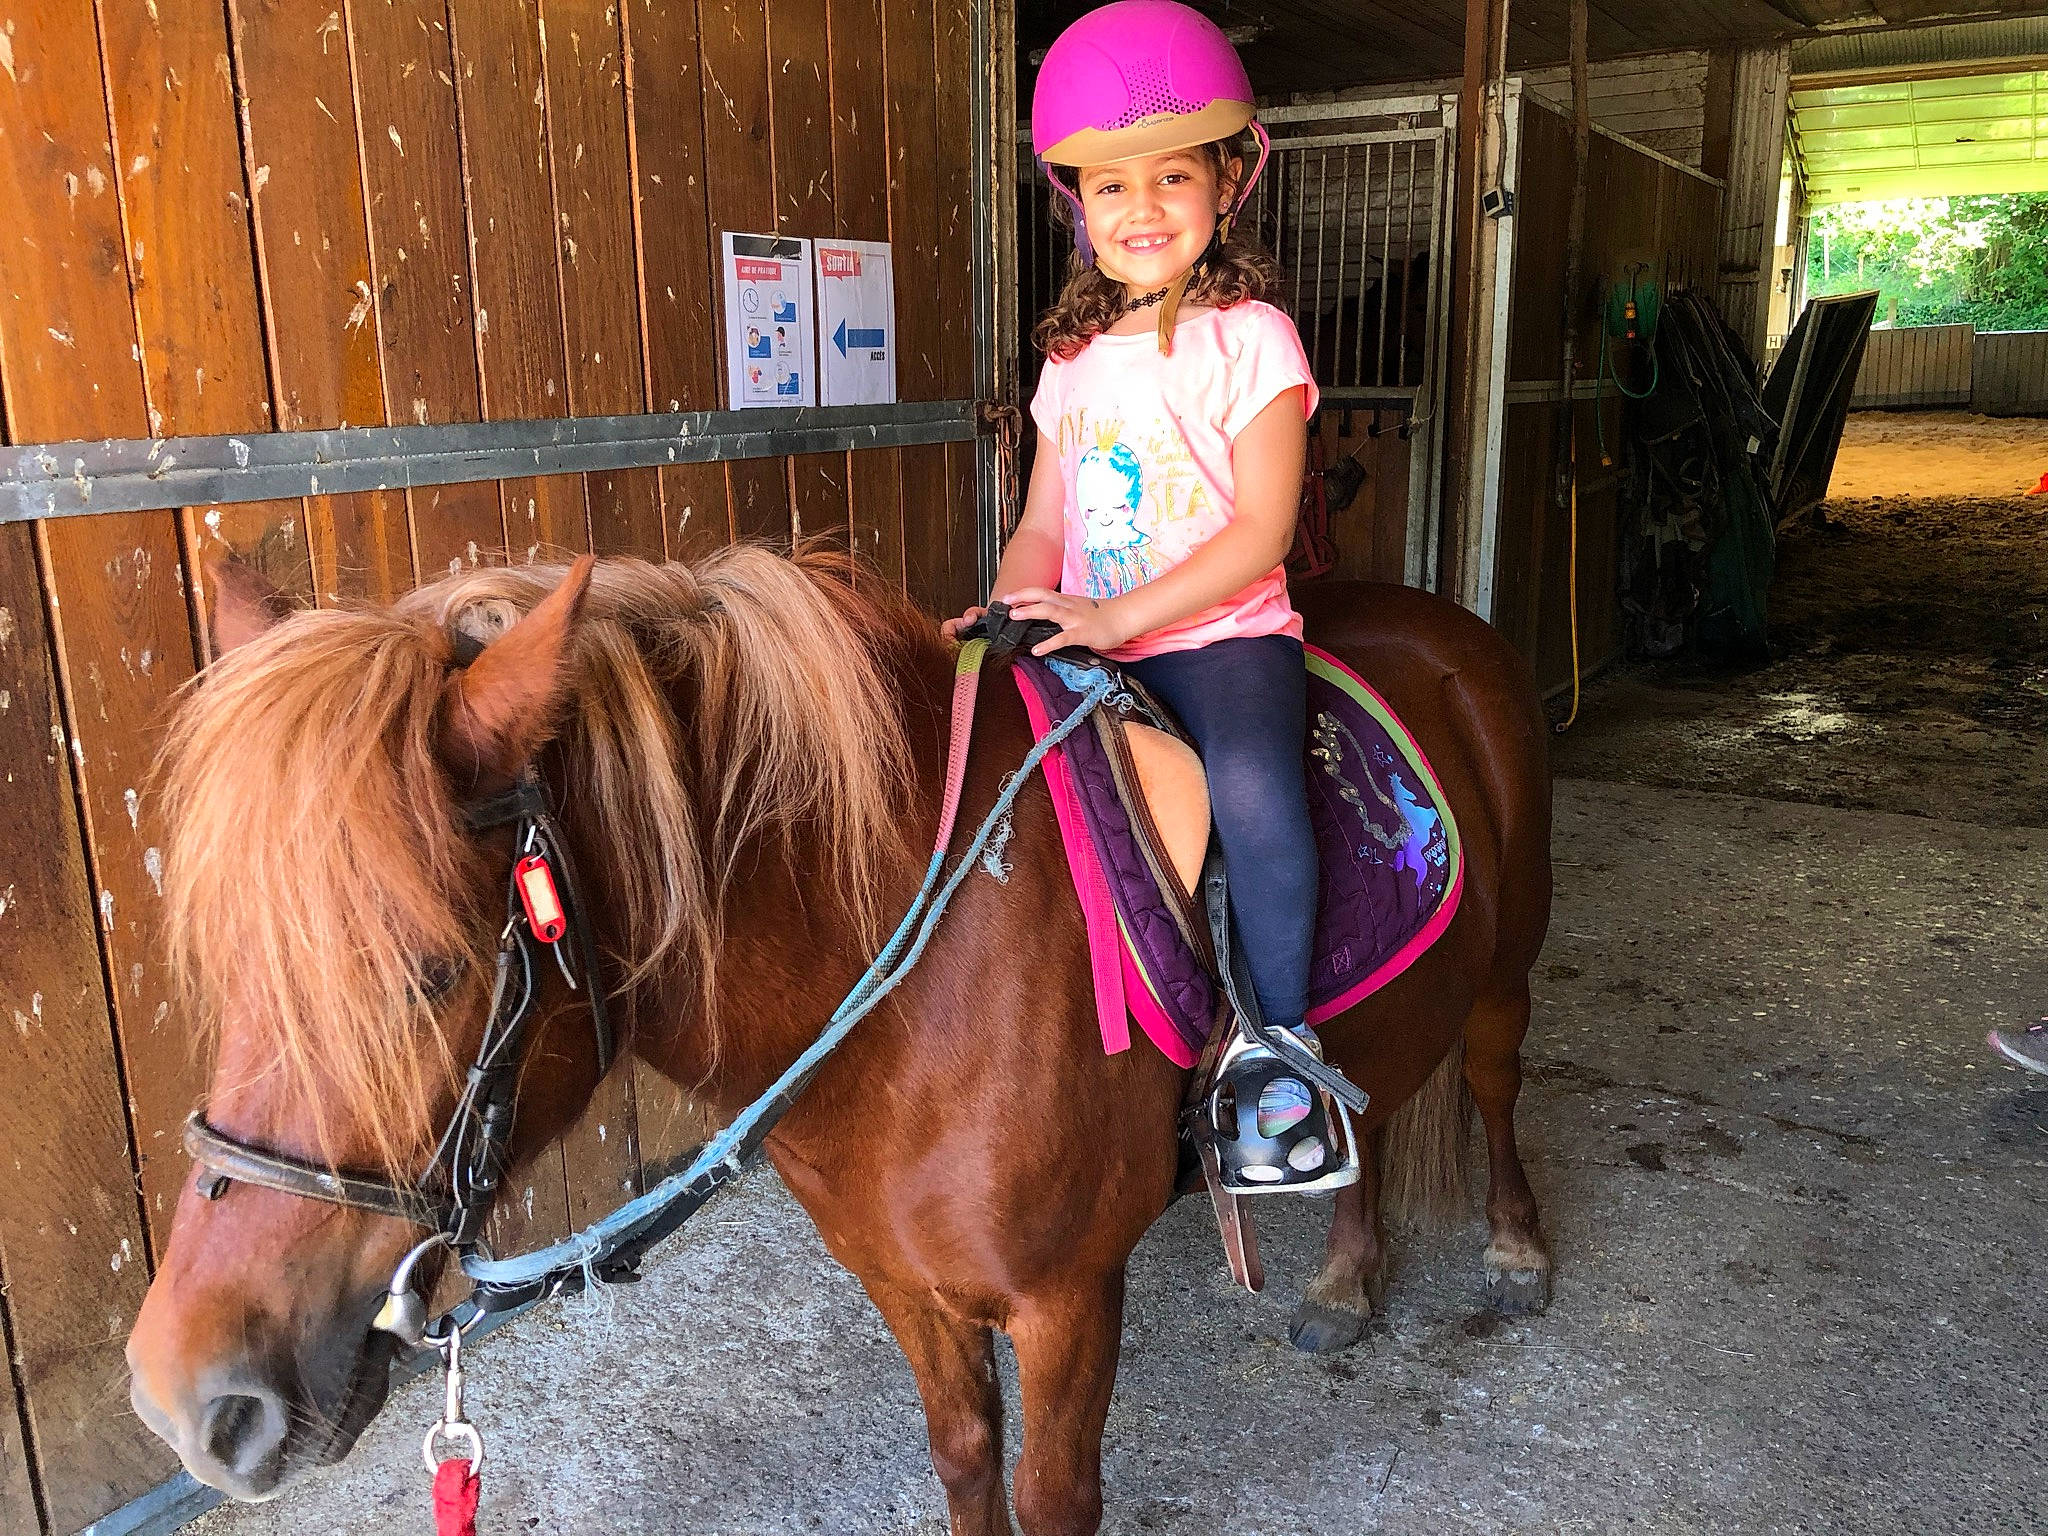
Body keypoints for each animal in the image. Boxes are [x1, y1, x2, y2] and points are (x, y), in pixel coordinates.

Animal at [125, 543, 1554, 1534]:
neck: (917, 988)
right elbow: (966, 1465)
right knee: (1366, 1106)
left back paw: (1514, 1251)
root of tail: (1438, 620)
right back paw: (1346, 1279)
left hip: (1506, 969)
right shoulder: (901, 1280)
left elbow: (1053, 1498)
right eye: (231, 960)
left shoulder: (1065, 1301)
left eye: (425, 973)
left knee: (1490, 1080)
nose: (187, 1399)